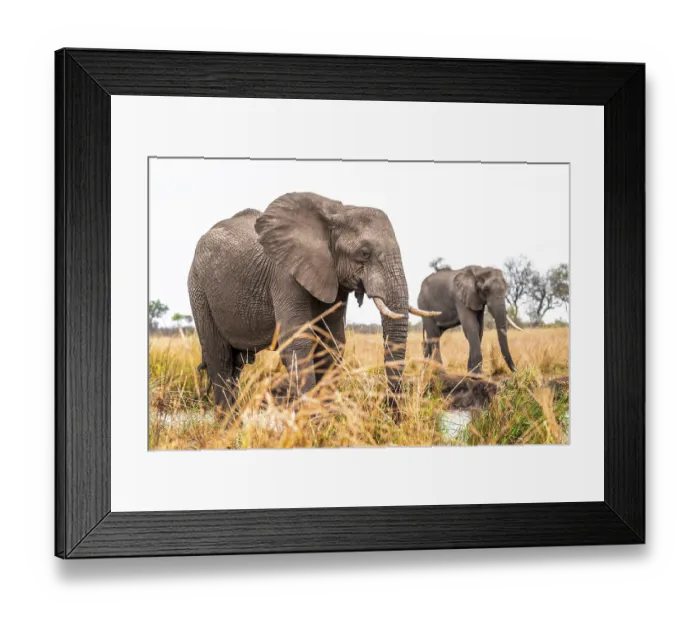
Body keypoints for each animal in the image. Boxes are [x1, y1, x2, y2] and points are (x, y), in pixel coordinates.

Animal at [187, 191, 438, 413]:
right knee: (220, 358)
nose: (392, 416)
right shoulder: (285, 275)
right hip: (198, 290)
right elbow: (298, 343)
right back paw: (226, 425)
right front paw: (309, 422)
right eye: (364, 253)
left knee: (235, 365)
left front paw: (323, 422)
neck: (336, 213)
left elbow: (332, 343)